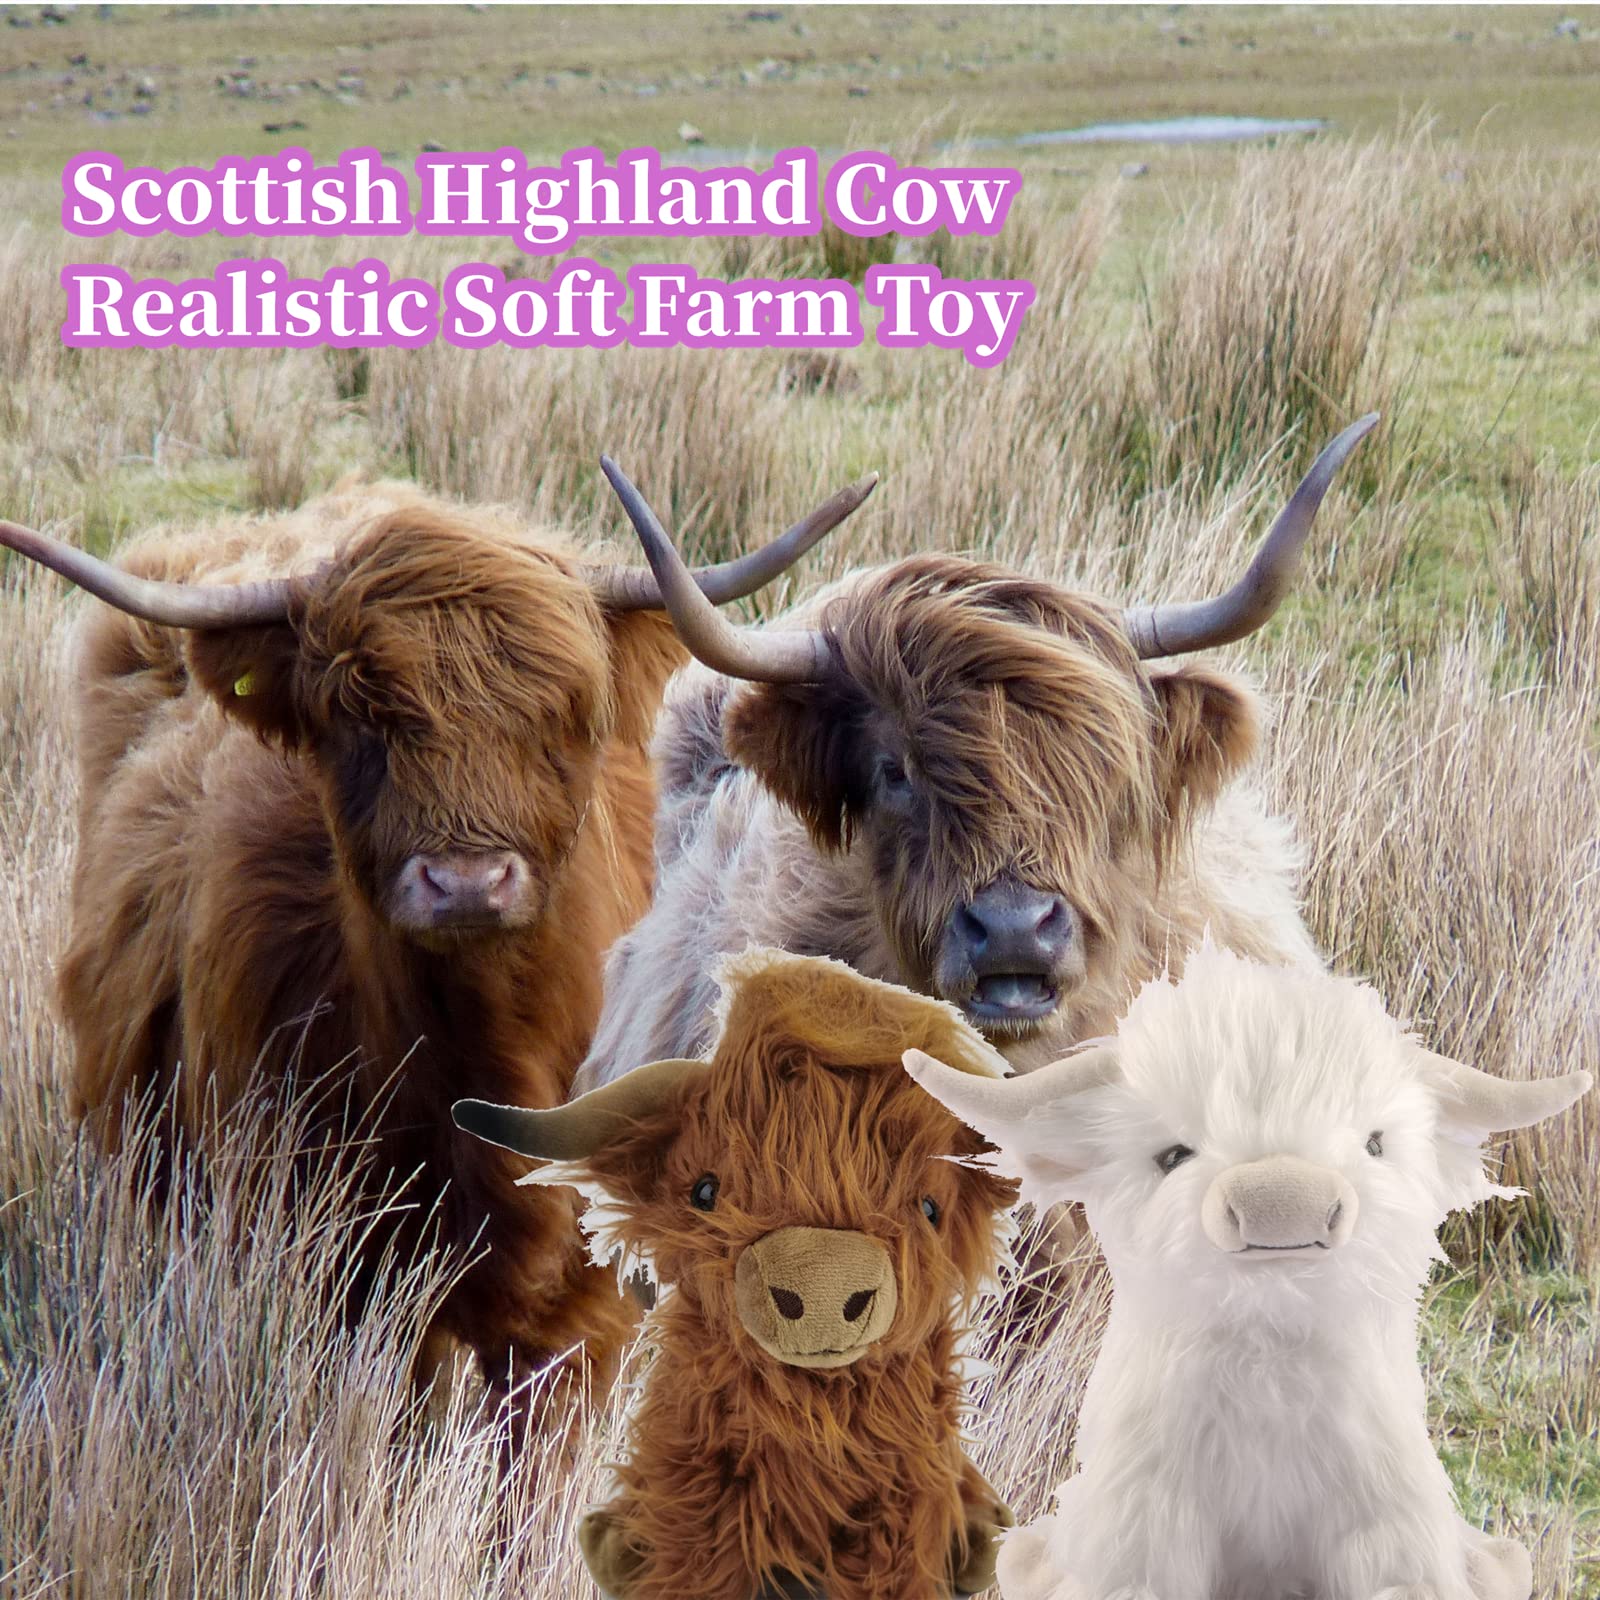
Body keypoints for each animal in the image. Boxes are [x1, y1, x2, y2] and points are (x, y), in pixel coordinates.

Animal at [0, 470, 871, 1428]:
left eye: (564, 716)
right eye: (358, 719)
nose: (466, 881)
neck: (488, 1049)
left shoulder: (578, 1313)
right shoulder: (342, 1273)